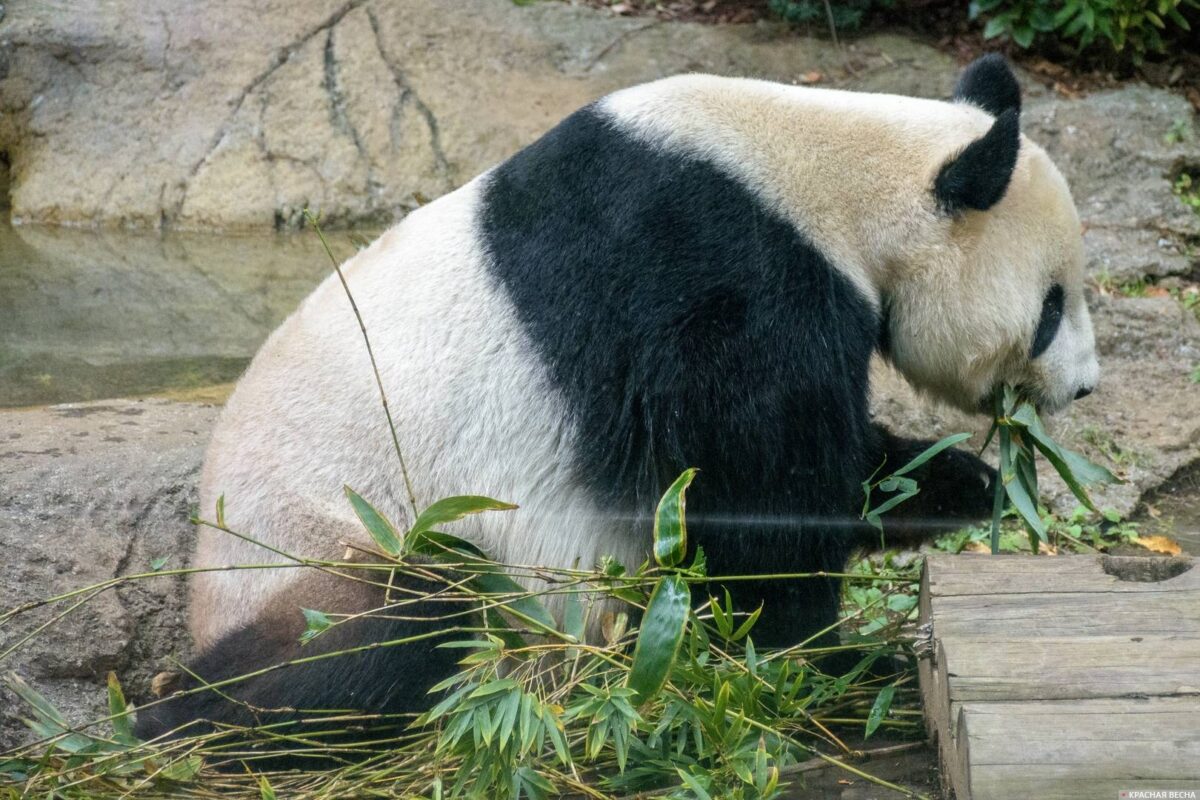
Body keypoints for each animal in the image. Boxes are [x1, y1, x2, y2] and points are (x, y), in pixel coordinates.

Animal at [136, 54, 1099, 743]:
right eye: (1053, 305)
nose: (1084, 386)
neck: (831, 172)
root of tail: (202, 595)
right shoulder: (713, 277)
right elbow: (758, 495)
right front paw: (811, 661)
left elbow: (829, 467)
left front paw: (957, 483)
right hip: (325, 548)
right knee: (399, 630)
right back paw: (178, 717)